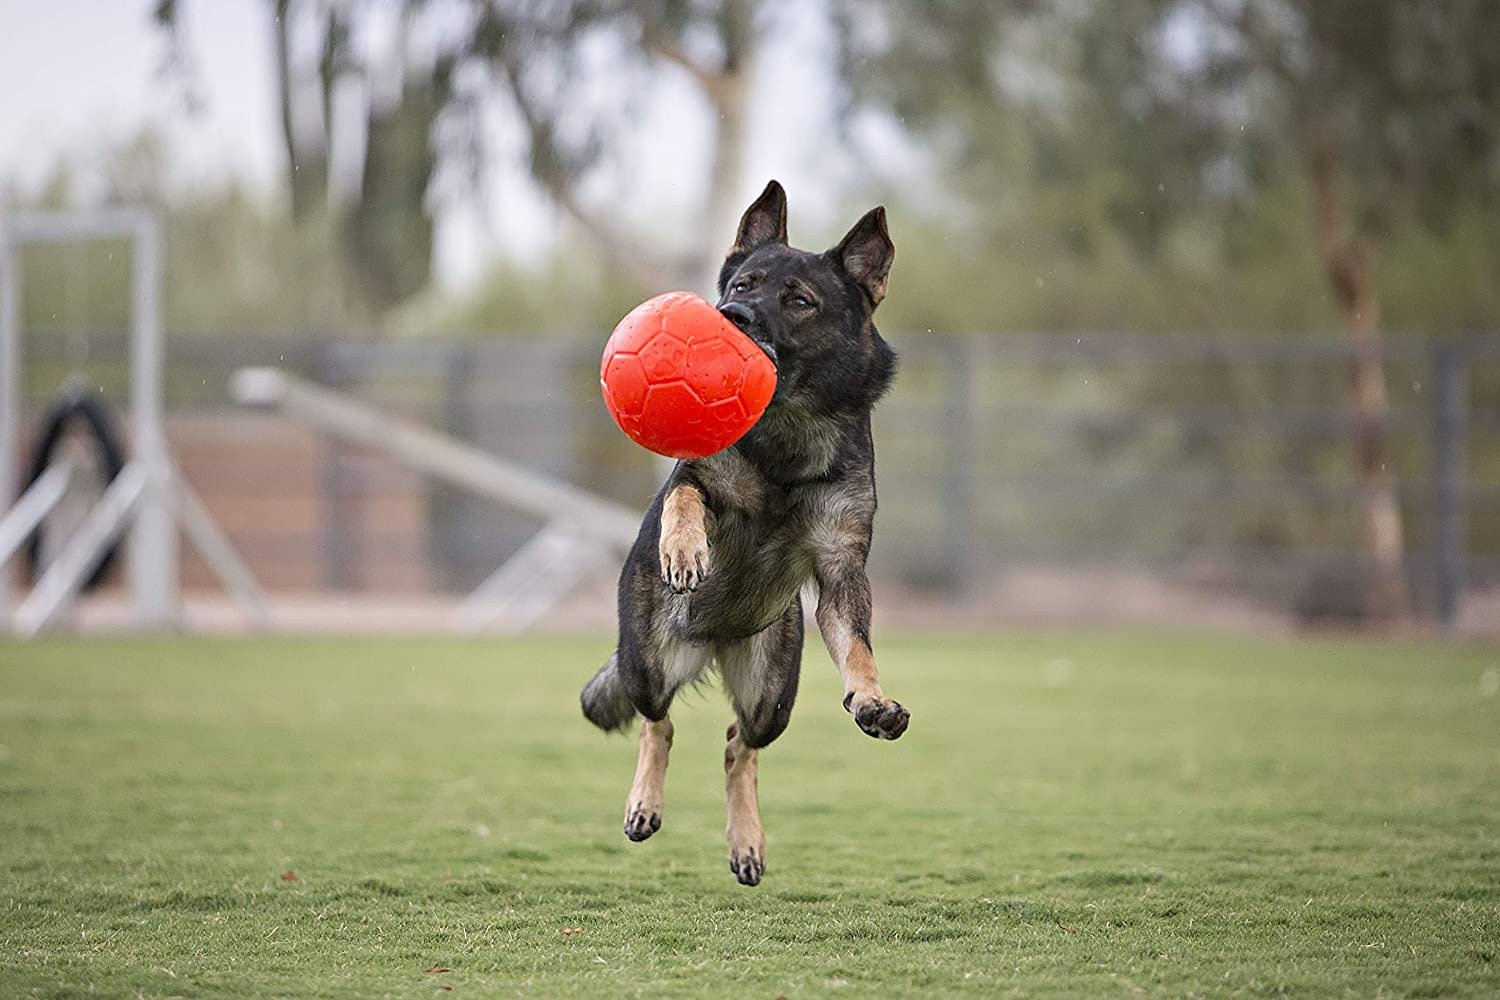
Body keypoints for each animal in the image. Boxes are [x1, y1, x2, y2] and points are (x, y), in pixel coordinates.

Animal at [576, 179, 906, 881]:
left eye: (799, 301)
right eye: (743, 283)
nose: (731, 314)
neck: (788, 436)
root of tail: (713, 640)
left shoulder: (840, 574)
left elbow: (859, 648)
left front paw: (870, 700)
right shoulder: (697, 478)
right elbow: (685, 495)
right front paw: (684, 550)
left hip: (771, 696)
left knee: (738, 744)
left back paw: (746, 841)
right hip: (647, 660)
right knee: (658, 722)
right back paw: (644, 802)